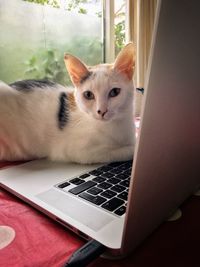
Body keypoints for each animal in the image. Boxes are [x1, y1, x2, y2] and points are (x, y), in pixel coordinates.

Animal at [0, 43, 136, 164]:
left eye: (115, 92)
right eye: (88, 95)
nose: (102, 111)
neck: (117, 125)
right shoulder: (80, 151)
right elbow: (124, 151)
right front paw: (132, 150)